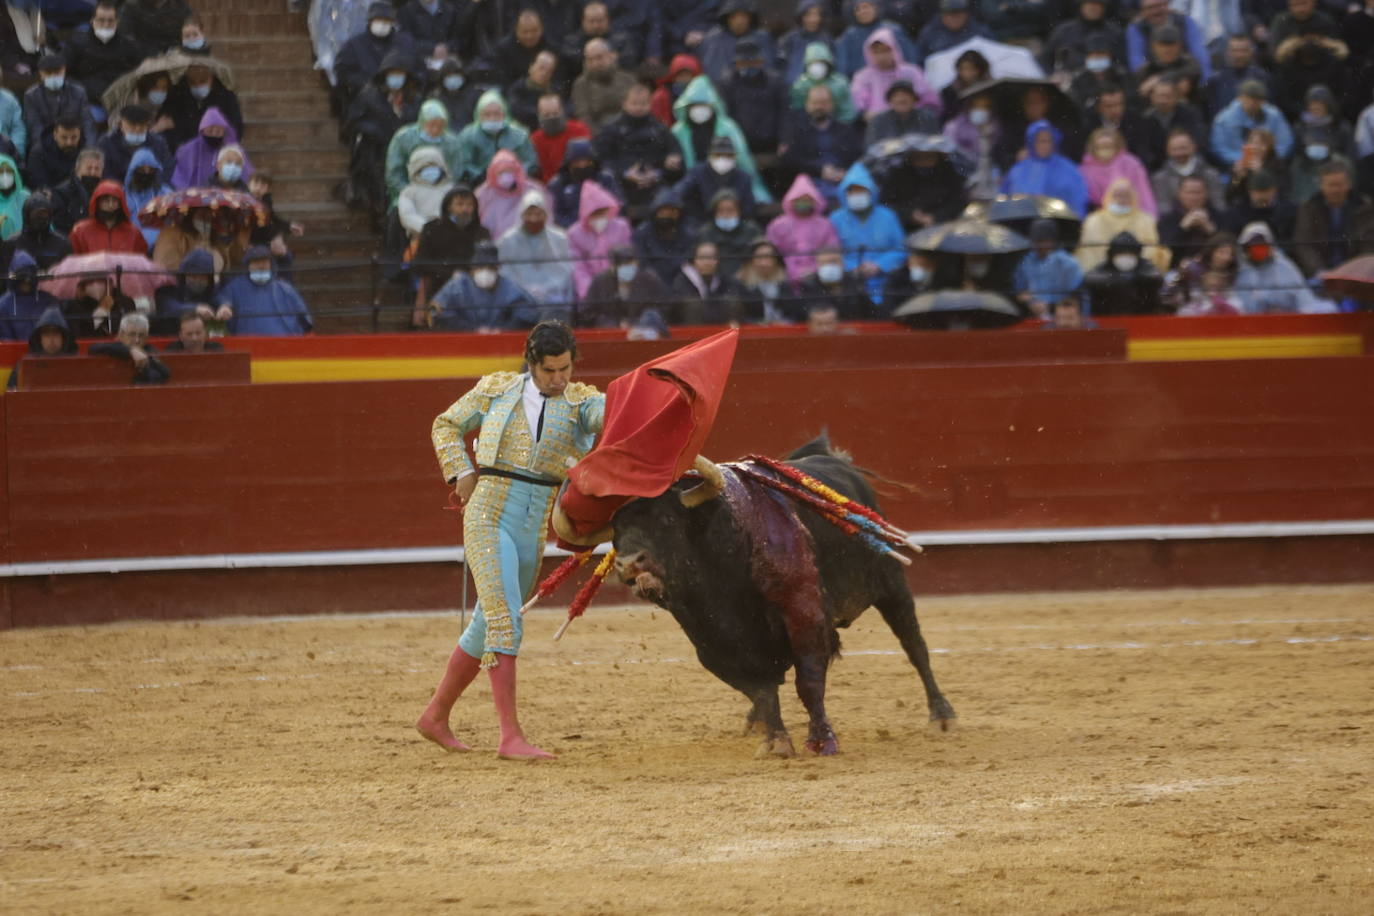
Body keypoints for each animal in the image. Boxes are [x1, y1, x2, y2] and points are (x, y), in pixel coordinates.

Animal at [557, 436, 956, 758]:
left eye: (667, 521)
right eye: (616, 533)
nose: (629, 563)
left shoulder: (805, 619)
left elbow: (808, 682)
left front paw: (821, 739)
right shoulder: (712, 647)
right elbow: (760, 691)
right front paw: (775, 740)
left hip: (892, 584)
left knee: (914, 645)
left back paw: (942, 716)